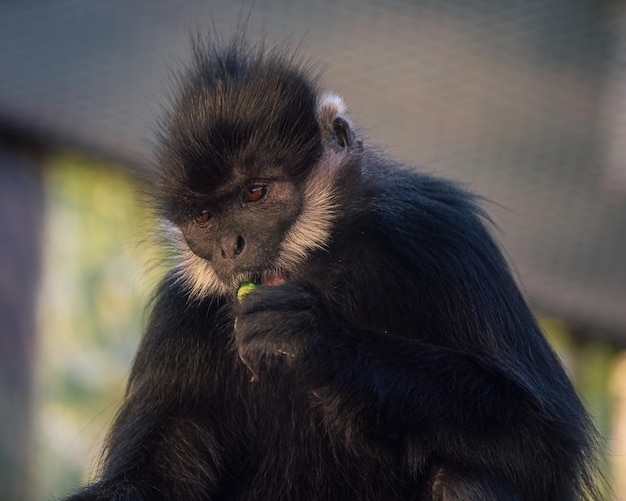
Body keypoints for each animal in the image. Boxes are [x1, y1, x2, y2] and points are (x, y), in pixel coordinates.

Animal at [64, 35, 600, 500]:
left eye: (255, 193)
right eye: (204, 217)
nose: (230, 248)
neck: (326, 273)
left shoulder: (441, 230)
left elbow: (544, 439)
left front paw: (314, 337)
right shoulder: (180, 314)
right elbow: (154, 479)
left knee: (464, 476)